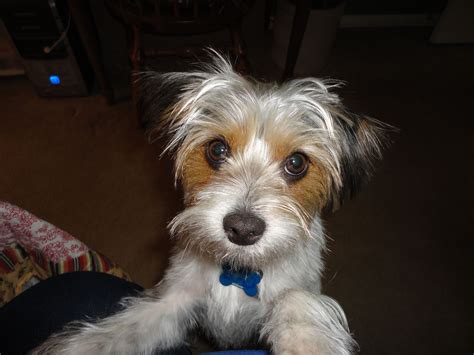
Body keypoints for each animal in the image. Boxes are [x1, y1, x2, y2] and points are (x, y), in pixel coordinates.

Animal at [35, 52, 386, 355]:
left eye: (297, 162)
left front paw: (307, 341)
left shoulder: (296, 288)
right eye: (216, 149)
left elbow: (294, 297)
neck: (239, 271)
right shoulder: (172, 303)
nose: (242, 229)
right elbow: (122, 331)